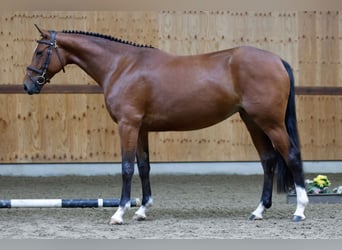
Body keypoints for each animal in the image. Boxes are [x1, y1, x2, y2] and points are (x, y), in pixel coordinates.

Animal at [22, 24, 308, 225]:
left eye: (40, 51)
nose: (28, 85)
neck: (122, 65)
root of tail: (277, 60)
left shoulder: (127, 125)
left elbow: (127, 168)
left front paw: (119, 213)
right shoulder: (140, 129)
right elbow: (144, 167)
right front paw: (142, 210)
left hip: (270, 122)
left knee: (291, 155)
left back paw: (300, 210)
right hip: (253, 121)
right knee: (268, 160)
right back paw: (258, 211)